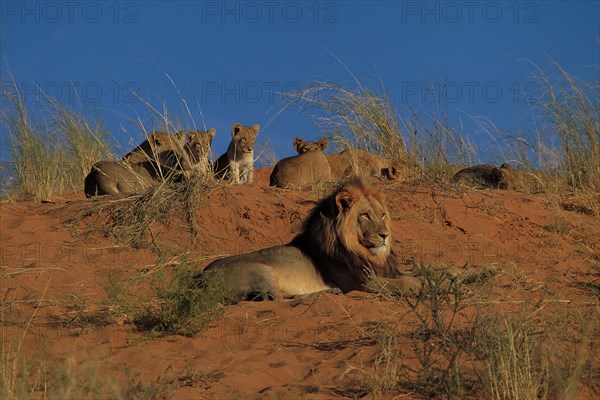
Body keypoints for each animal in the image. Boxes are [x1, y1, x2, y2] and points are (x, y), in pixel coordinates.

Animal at [199, 177, 420, 302]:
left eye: (382, 215)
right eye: (365, 215)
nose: (385, 235)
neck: (362, 252)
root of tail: (199, 280)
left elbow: (408, 276)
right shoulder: (360, 284)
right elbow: (401, 284)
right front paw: (421, 285)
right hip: (262, 269)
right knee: (277, 300)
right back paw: (327, 293)